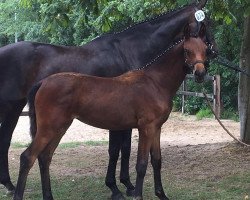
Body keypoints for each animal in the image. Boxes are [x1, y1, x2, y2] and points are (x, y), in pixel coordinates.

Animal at [0, 0, 215, 198]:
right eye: (187, 50)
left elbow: (155, 160)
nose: (201, 72)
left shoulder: (156, 128)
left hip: (59, 126)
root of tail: (43, 82)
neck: (154, 80)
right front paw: (127, 190)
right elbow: (136, 160)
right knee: (26, 155)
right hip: (37, 121)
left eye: (203, 49)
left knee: (44, 157)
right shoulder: (145, 127)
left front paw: (158, 194)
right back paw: (13, 189)